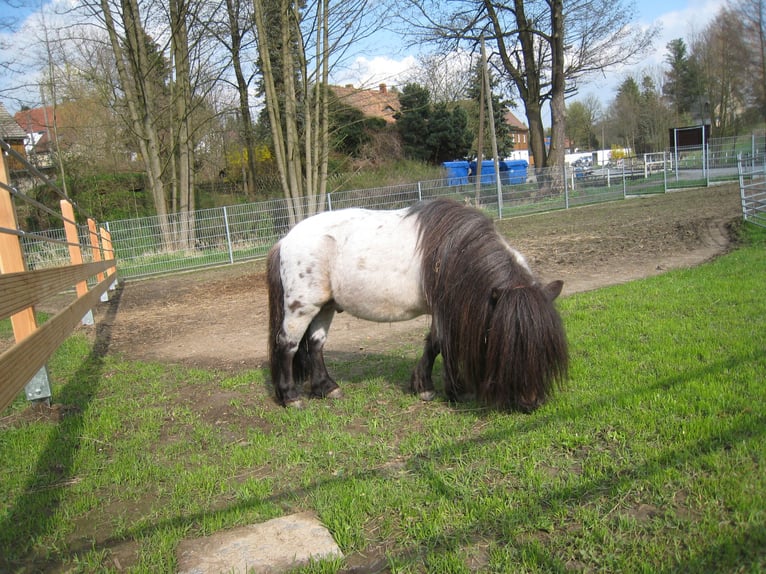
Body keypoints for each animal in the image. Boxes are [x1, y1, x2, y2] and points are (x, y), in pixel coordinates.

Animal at [268, 200, 568, 412]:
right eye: (511, 347)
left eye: (544, 348)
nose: (531, 402)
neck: (455, 251)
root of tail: (285, 240)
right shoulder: (444, 309)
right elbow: (441, 345)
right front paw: (452, 390)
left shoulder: (441, 310)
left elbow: (433, 344)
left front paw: (427, 385)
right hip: (301, 307)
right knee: (287, 345)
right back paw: (291, 397)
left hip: (325, 307)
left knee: (315, 345)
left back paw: (326, 388)